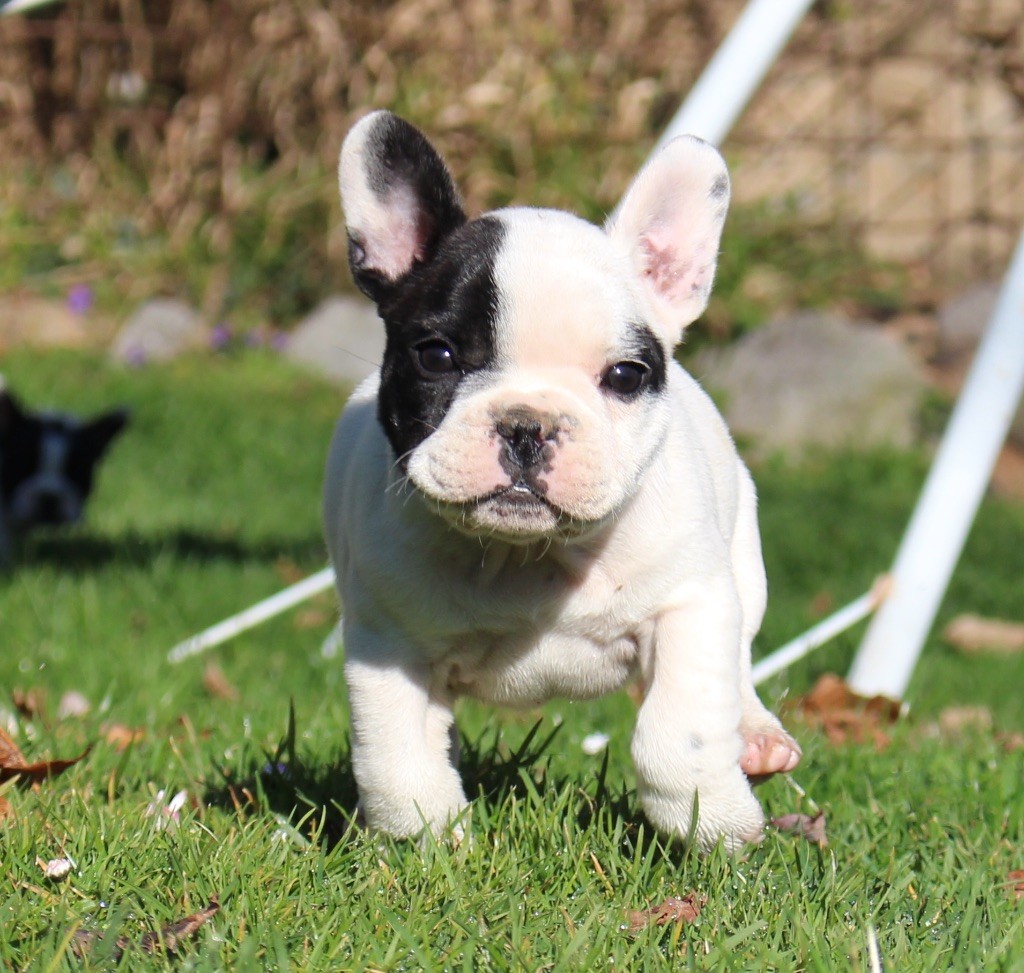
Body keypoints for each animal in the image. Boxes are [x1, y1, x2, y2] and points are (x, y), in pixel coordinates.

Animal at [319, 112, 798, 852]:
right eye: (437, 356)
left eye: (626, 375)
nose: (527, 425)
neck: (527, 558)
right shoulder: (387, 642)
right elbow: (397, 759)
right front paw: (431, 840)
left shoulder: (691, 605)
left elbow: (678, 733)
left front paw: (714, 820)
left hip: (744, 566)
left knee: (739, 661)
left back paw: (754, 735)